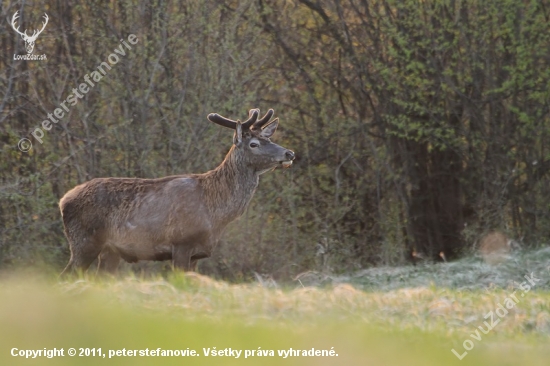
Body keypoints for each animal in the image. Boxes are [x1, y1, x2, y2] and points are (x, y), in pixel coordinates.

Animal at [58, 108, 296, 278]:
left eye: (269, 139)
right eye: (254, 143)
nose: (289, 153)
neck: (215, 212)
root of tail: (63, 200)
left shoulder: (198, 253)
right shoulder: (181, 243)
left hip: (110, 250)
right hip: (83, 241)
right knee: (65, 276)